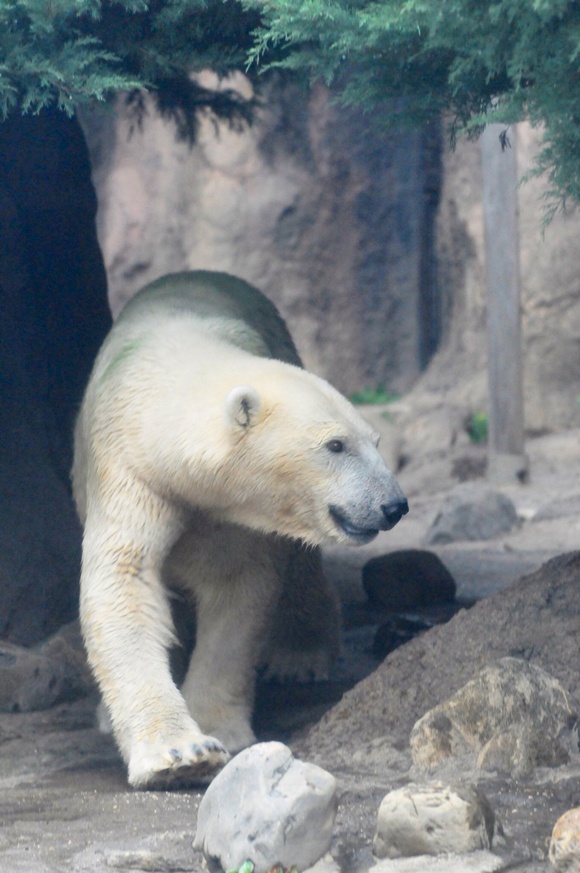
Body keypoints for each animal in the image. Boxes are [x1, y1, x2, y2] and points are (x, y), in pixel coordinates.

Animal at [72, 270, 408, 788]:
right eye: (335, 444)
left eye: (373, 440)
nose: (393, 505)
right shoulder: (128, 473)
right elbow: (124, 581)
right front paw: (178, 755)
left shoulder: (235, 508)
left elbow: (238, 587)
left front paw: (217, 733)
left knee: (300, 563)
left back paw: (300, 655)